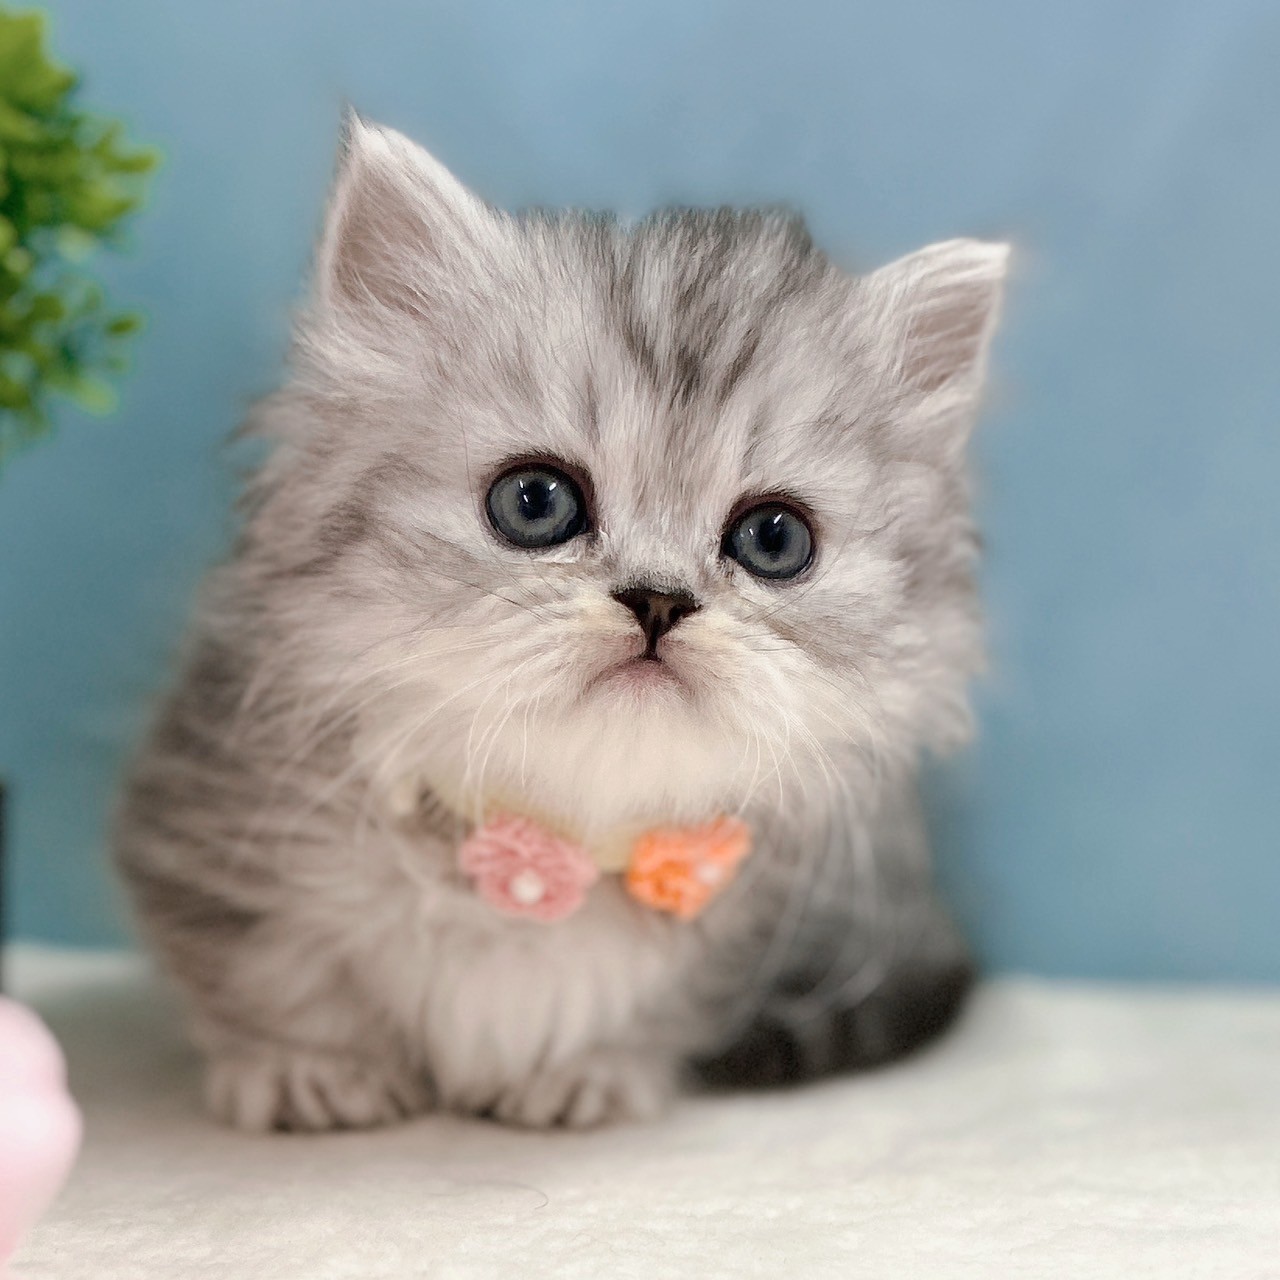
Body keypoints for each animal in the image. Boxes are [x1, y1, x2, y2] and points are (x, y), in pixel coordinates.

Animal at [114, 114, 1008, 1132]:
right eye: (534, 502)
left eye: (774, 539)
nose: (658, 598)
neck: (552, 840)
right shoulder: (204, 824)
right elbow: (269, 978)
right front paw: (307, 1068)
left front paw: (593, 1071)